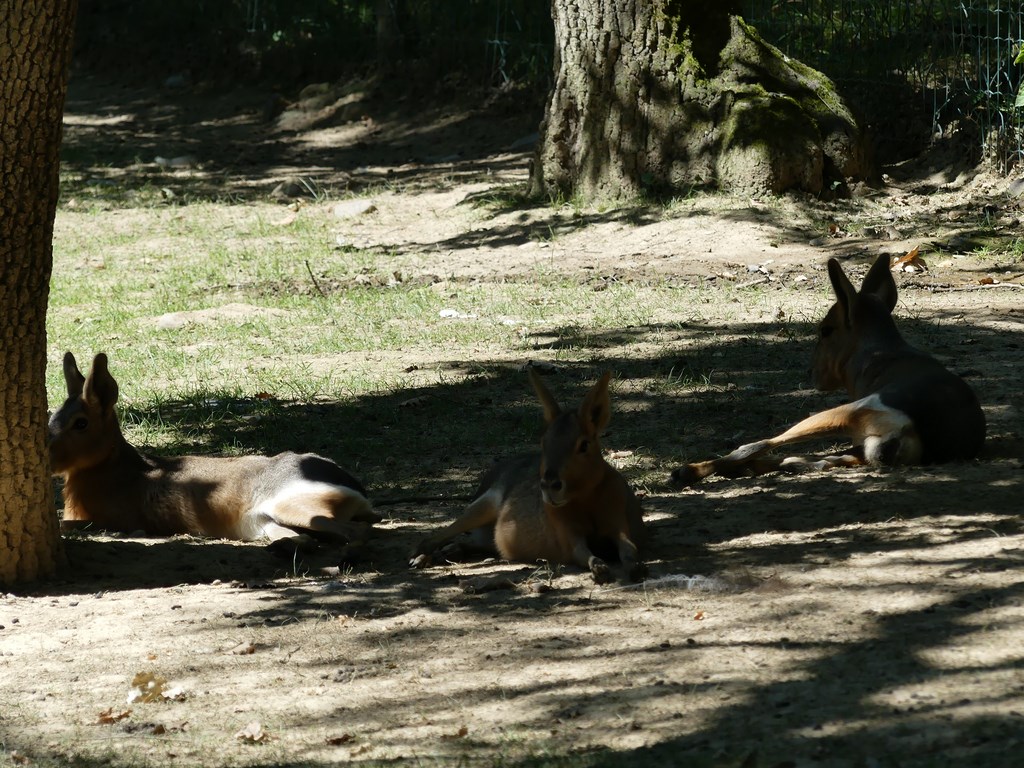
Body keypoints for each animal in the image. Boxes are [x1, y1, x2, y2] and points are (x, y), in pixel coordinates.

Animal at [49, 352, 379, 546]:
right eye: (53, 415)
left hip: (293, 508)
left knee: (356, 532)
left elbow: (64, 524)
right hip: (269, 523)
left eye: (80, 423)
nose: (48, 457)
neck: (114, 469)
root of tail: (356, 489)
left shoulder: (115, 520)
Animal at [411, 369, 646, 584]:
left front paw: (635, 567)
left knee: (473, 543)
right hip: (483, 506)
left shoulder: (619, 523)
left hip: (488, 534)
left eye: (584, 445)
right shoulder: (569, 537)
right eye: (543, 442)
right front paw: (600, 569)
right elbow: (584, 554)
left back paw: (451, 552)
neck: (586, 498)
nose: (550, 485)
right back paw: (421, 558)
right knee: (434, 538)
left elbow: (630, 548)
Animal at [672, 253, 986, 485]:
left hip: (847, 413)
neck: (879, 353)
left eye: (825, 330)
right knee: (820, 460)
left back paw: (688, 471)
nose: (811, 373)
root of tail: (922, 426)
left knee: (759, 445)